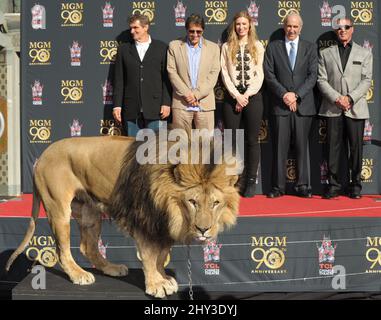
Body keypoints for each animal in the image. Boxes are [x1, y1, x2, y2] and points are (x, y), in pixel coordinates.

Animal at [5, 132, 239, 298]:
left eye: (215, 203)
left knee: (87, 247)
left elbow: (162, 255)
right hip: (58, 208)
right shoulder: (144, 219)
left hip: (89, 212)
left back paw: (111, 268)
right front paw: (156, 284)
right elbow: (149, 255)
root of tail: (42, 155)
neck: (171, 206)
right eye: (192, 202)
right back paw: (79, 275)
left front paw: (164, 278)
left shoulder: (161, 224)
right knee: (62, 250)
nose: (203, 230)